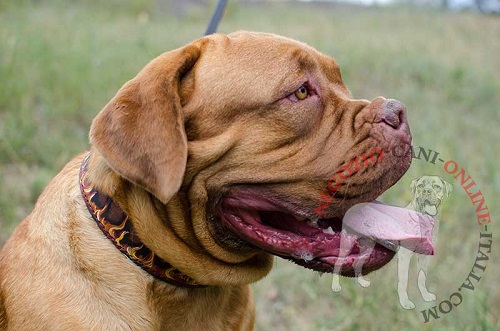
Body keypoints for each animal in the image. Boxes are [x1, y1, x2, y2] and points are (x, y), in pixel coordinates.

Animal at [398, 175, 454, 310]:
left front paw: (425, 295)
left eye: (436, 186)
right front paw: (405, 302)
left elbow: (422, 277)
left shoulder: (424, 255)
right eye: (420, 186)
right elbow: (404, 280)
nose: (427, 191)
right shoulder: (404, 256)